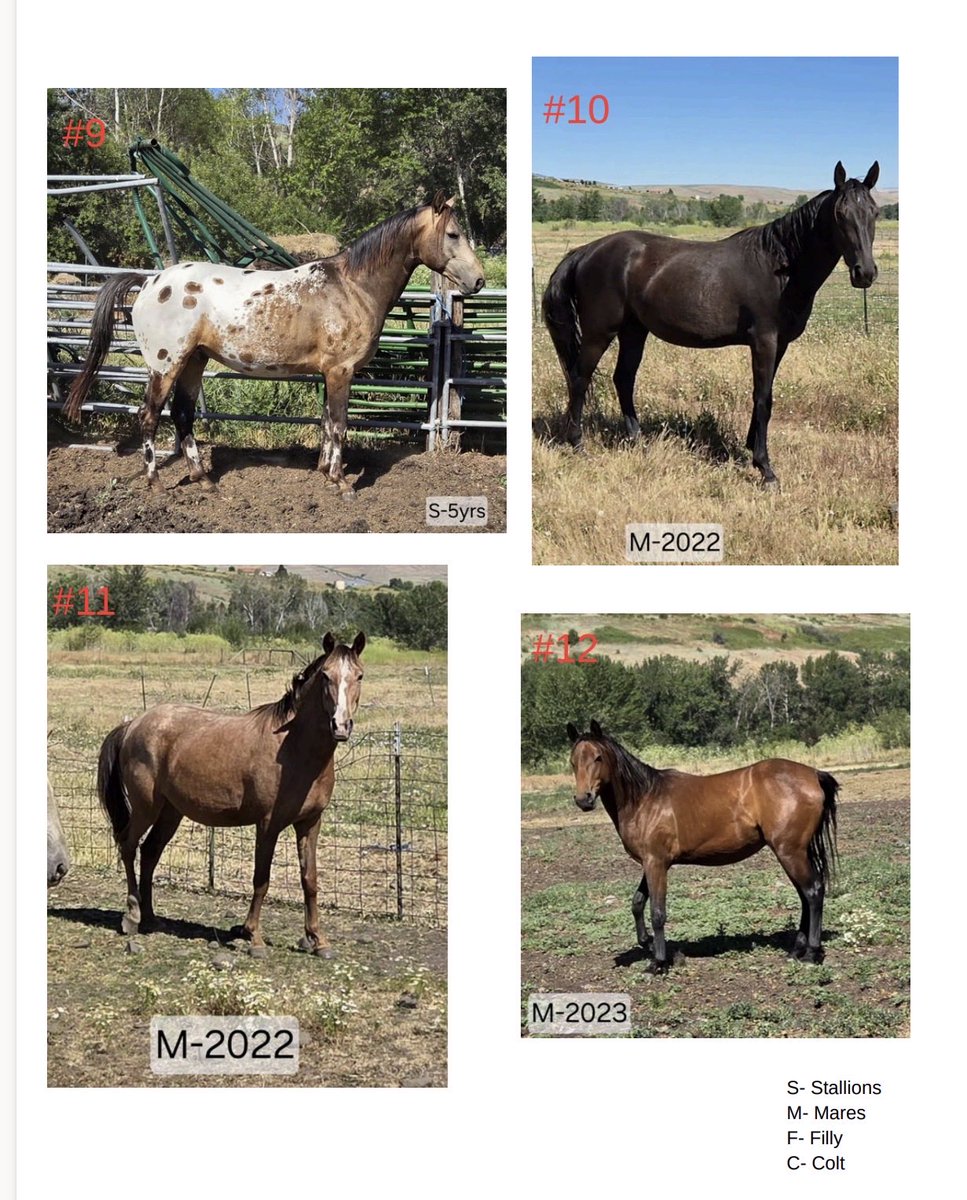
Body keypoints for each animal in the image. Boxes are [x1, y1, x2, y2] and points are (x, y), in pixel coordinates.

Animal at [64, 193, 485, 496]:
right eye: (453, 234)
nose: (478, 280)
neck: (352, 286)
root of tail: (151, 281)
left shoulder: (329, 373)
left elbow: (326, 421)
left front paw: (324, 471)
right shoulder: (340, 371)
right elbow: (339, 423)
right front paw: (341, 483)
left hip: (194, 362)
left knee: (183, 415)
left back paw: (204, 480)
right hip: (165, 365)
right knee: (149, 416)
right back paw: (156, 484)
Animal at [95, 632, 365, 954]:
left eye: (359, 675)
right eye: (326, 675)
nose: (340, 725)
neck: (294, 748)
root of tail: (132, 725)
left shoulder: (310, 823)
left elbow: (309, 879)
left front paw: (318, 940)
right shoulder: (268, 824)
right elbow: (261, 878)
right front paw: (254, 937)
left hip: (170, 812)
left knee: (149, 852)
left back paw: (151, 918)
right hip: (145, 807)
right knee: (128, 845)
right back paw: (132, 917)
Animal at [543, 162, 880, 489]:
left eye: (874, 212)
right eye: (840, 214)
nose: (865, 273)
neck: (780, 267)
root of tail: (586, 251)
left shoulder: (780, 343)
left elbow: (764, 395)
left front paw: (751, 447)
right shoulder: (764, 340)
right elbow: (763, 398)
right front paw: (765, 468)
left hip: (634, 331)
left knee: (623, 379)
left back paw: (637, 441)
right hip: (599, 333)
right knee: (579, 378)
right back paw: (577, 444)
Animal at [566, 721, 838, 972]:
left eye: (598, 757)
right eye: (573, 761)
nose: (583, 800)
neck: (645, 799)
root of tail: (813, 774)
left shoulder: (656, 863)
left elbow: (657, 912)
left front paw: (658, 963)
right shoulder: (651, 862)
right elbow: (637, 903)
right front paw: (650, 944)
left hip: (790, 852)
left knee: (813, 892)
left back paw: (811, 953)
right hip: (794, 853)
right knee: (805, 895)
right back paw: (796, 950)